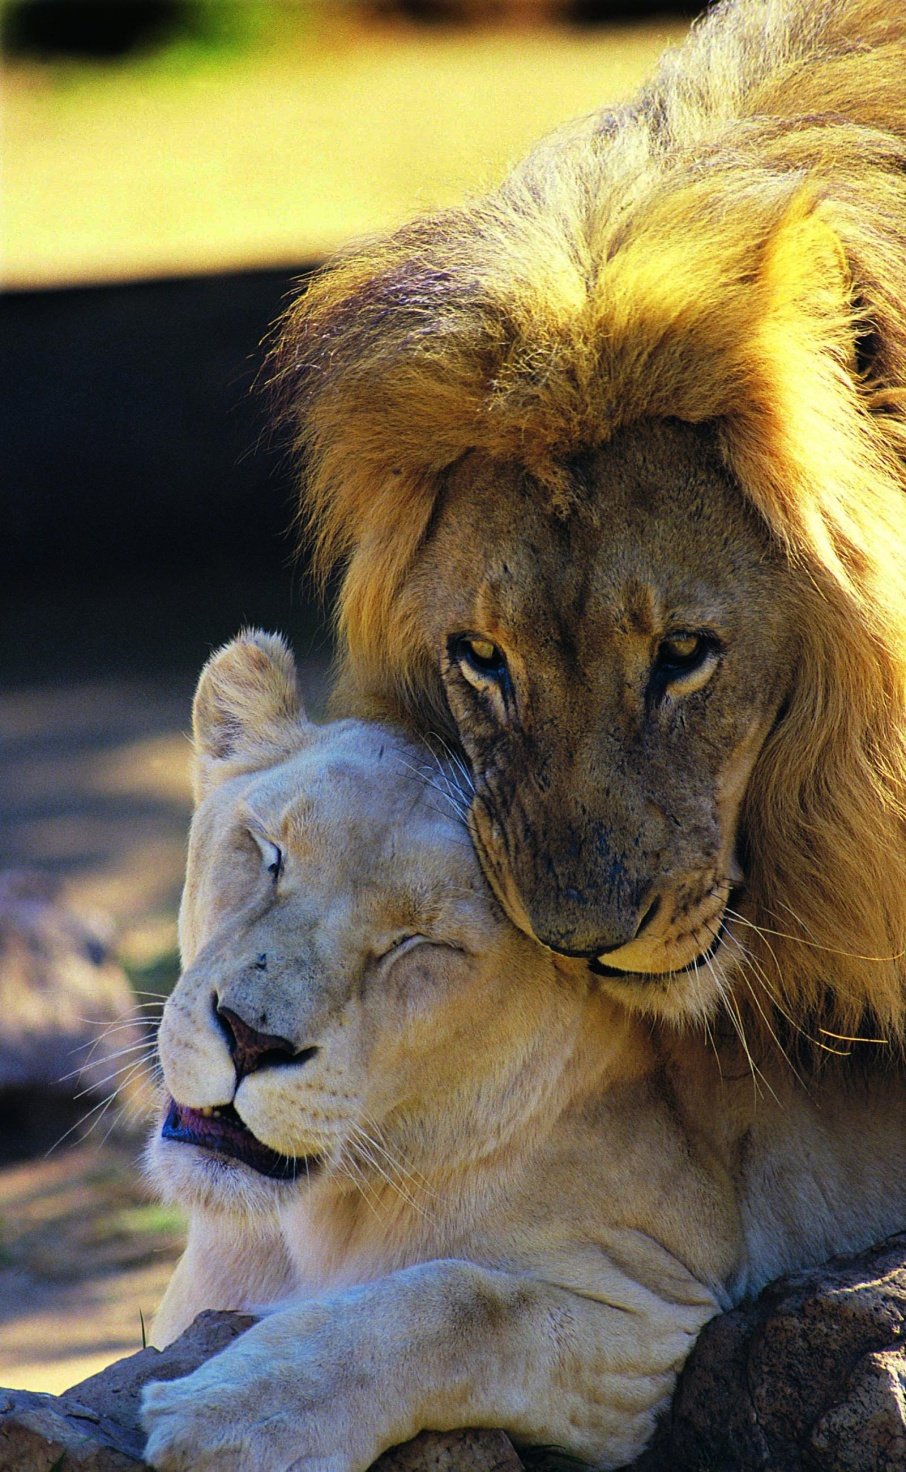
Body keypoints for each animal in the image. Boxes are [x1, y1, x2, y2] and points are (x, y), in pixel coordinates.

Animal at [139, 630, 901, 1472]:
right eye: (267, 853)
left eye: (422, 943)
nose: (250, 1036)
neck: (304, 1231)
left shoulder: (655, 1313)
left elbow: (454, 1301)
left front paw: (230, 1413)